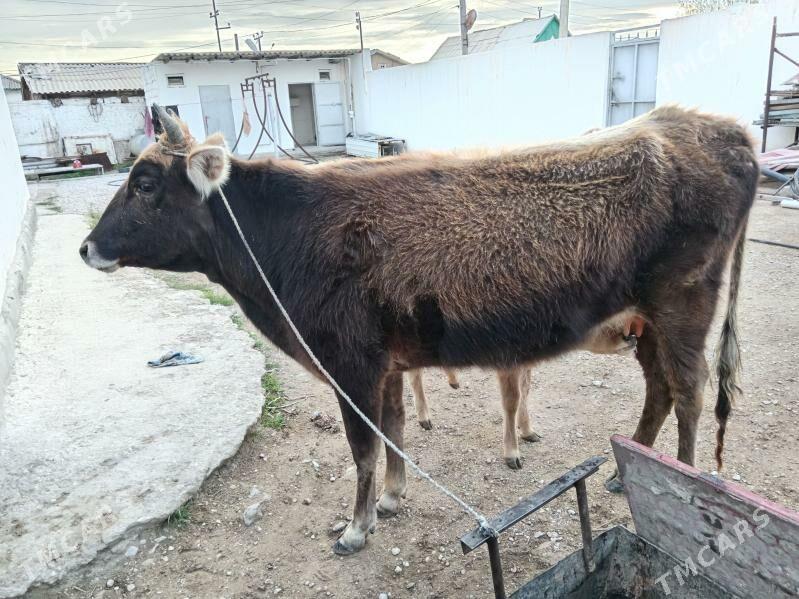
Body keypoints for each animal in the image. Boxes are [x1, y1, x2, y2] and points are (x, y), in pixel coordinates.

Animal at [408, 312, 644, 469]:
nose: (633, 337)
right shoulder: (507, 361)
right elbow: (511, 401)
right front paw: (512, 455)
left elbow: (525, 391)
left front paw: (529, 432)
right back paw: (425, 418)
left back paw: (454, 380)